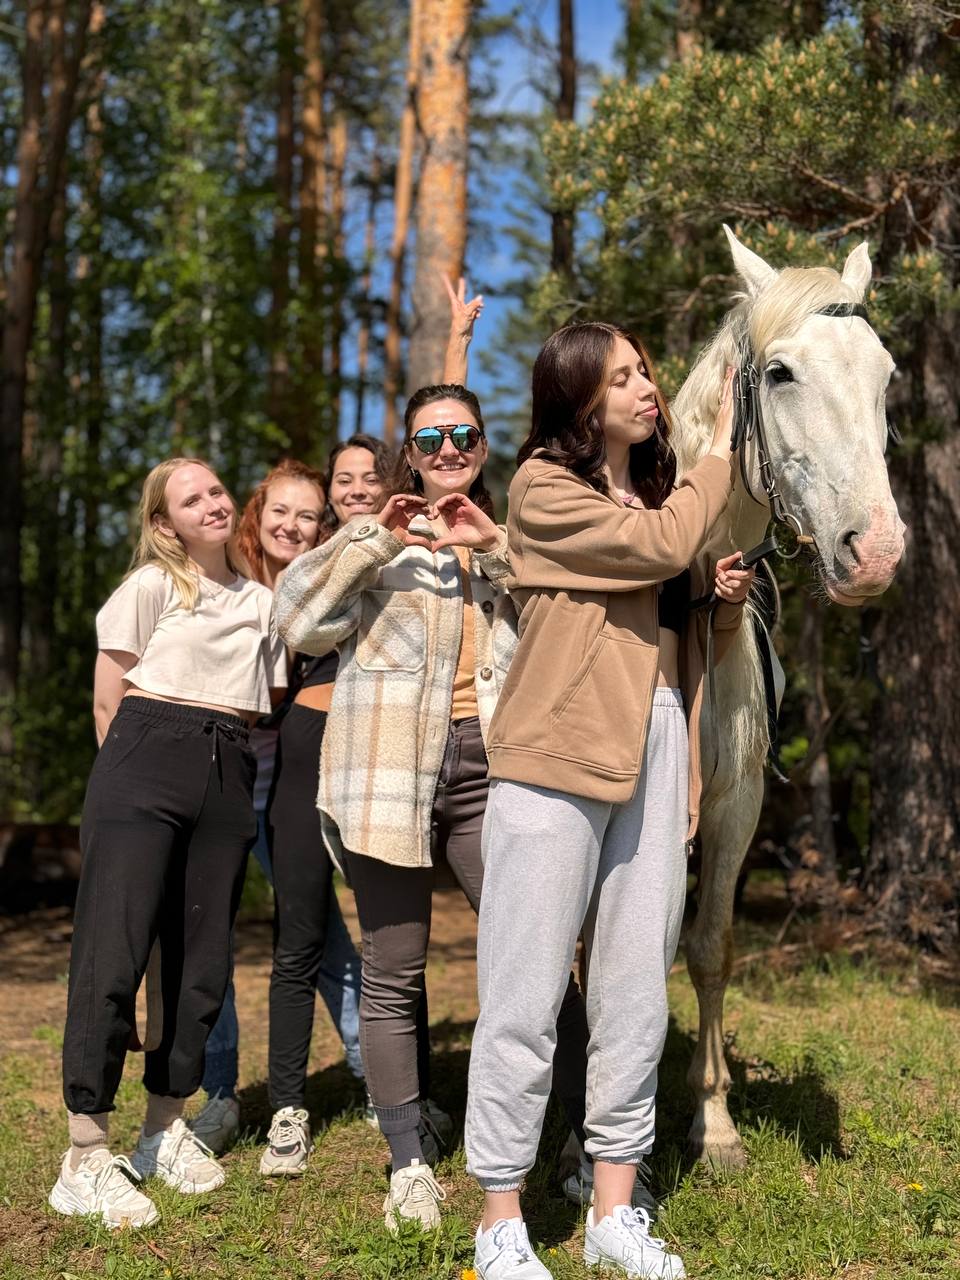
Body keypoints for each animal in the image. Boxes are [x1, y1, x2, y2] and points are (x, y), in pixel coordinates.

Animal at [670, 225, 911, 1167]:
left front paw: (715, 1124)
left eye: (887, 375)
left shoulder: (732, 805)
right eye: (779, 373)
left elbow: (709, 947)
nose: (875, 552)